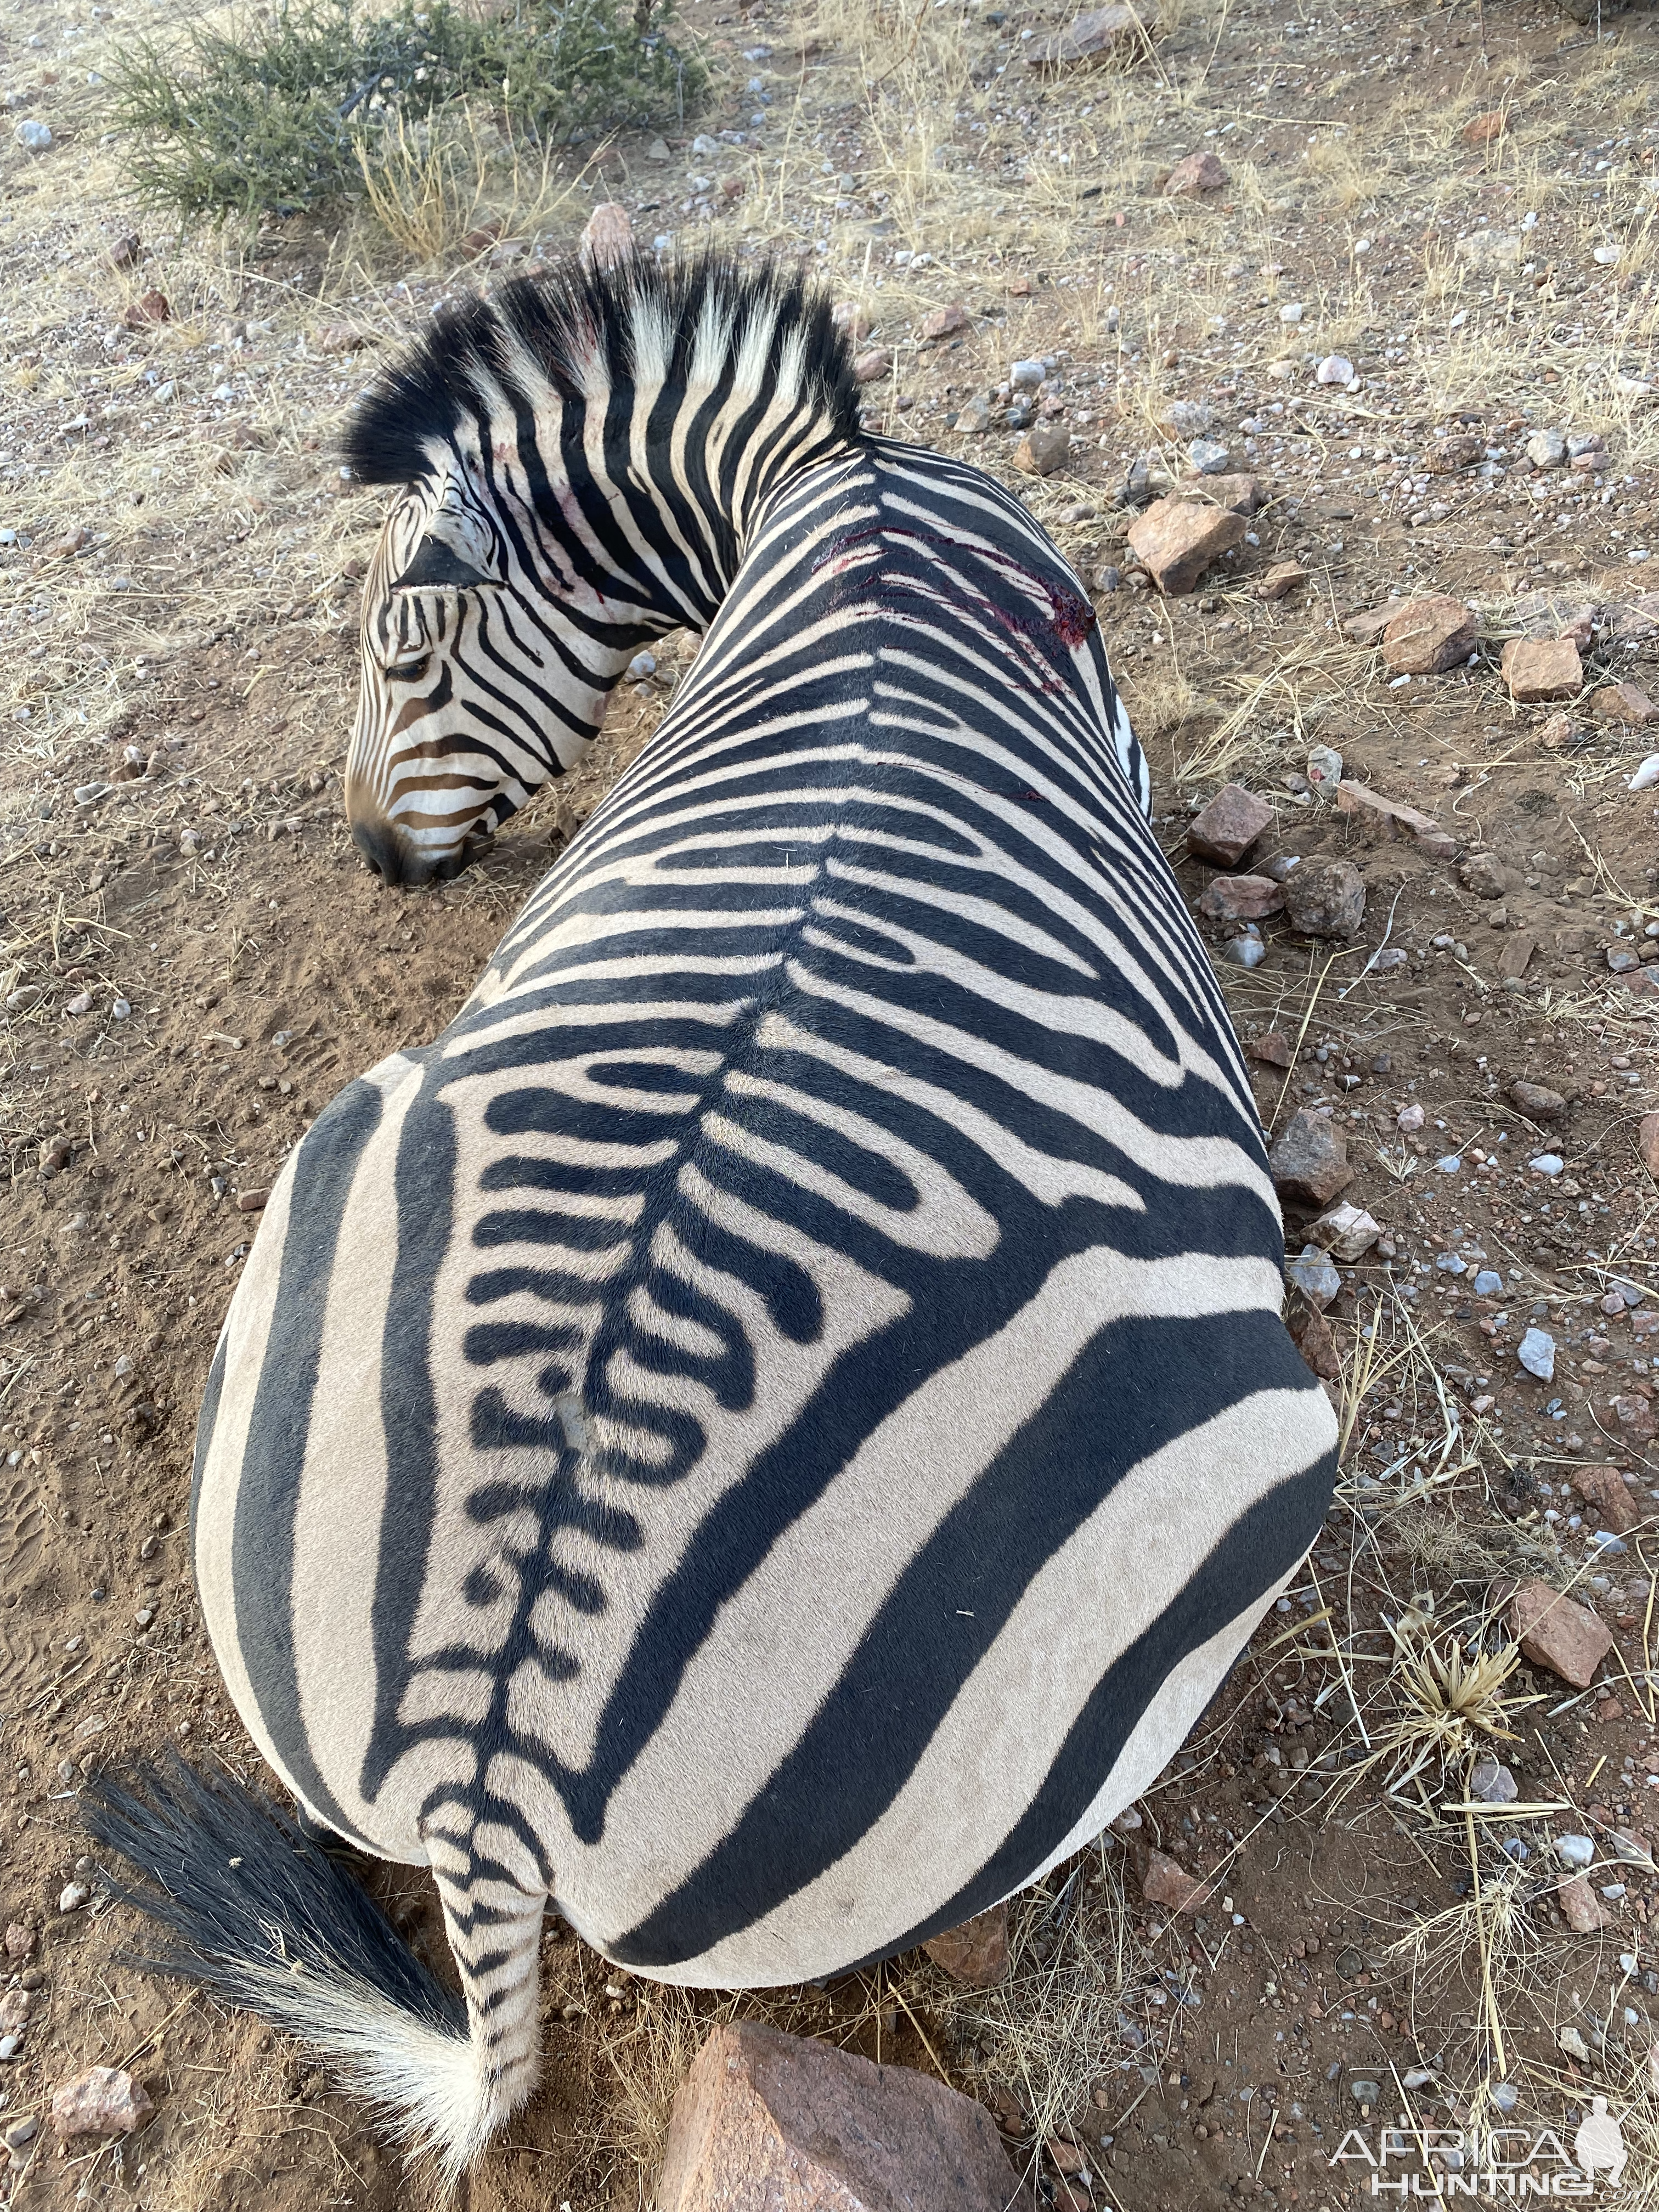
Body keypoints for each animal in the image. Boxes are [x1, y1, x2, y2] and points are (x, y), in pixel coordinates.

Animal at [84, 254, 1345, 2176]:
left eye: (402, 647)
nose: (372, 854)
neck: (842, 483)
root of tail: (490, 1769)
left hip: (335, 1170)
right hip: (1252, 1458)